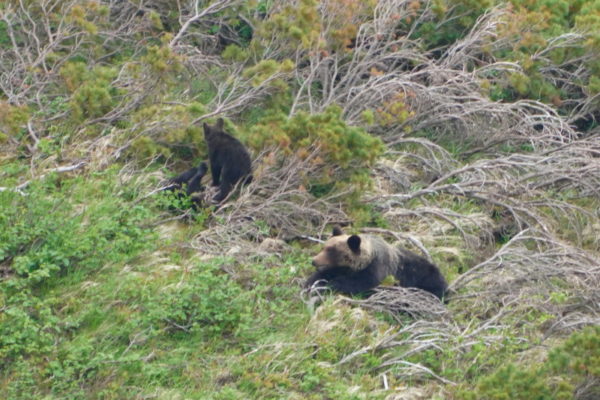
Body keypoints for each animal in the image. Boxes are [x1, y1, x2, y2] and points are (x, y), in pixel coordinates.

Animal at [308, 227, 448, 298]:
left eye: (330, 251)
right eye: (324, 247)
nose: (314, 261)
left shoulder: (377, 268)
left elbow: (361, 282)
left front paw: (332, 285)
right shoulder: (338, 268)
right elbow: (322, 275)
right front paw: (311, 284)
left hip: (424, 274)